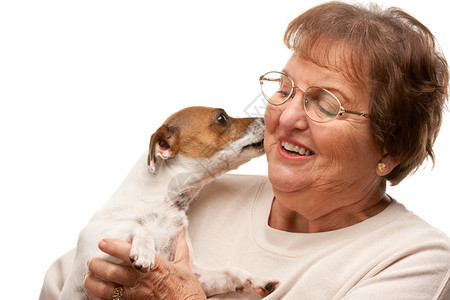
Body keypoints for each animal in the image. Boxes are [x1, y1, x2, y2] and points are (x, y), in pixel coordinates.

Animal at [59, 106, 278, 298]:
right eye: (222, 118)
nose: (265, 119)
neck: (165, 206)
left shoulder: (194, 274)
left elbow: (229, 271)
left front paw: (255, 280)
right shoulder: (93, 257)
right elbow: (139, 227)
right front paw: (144, 250)